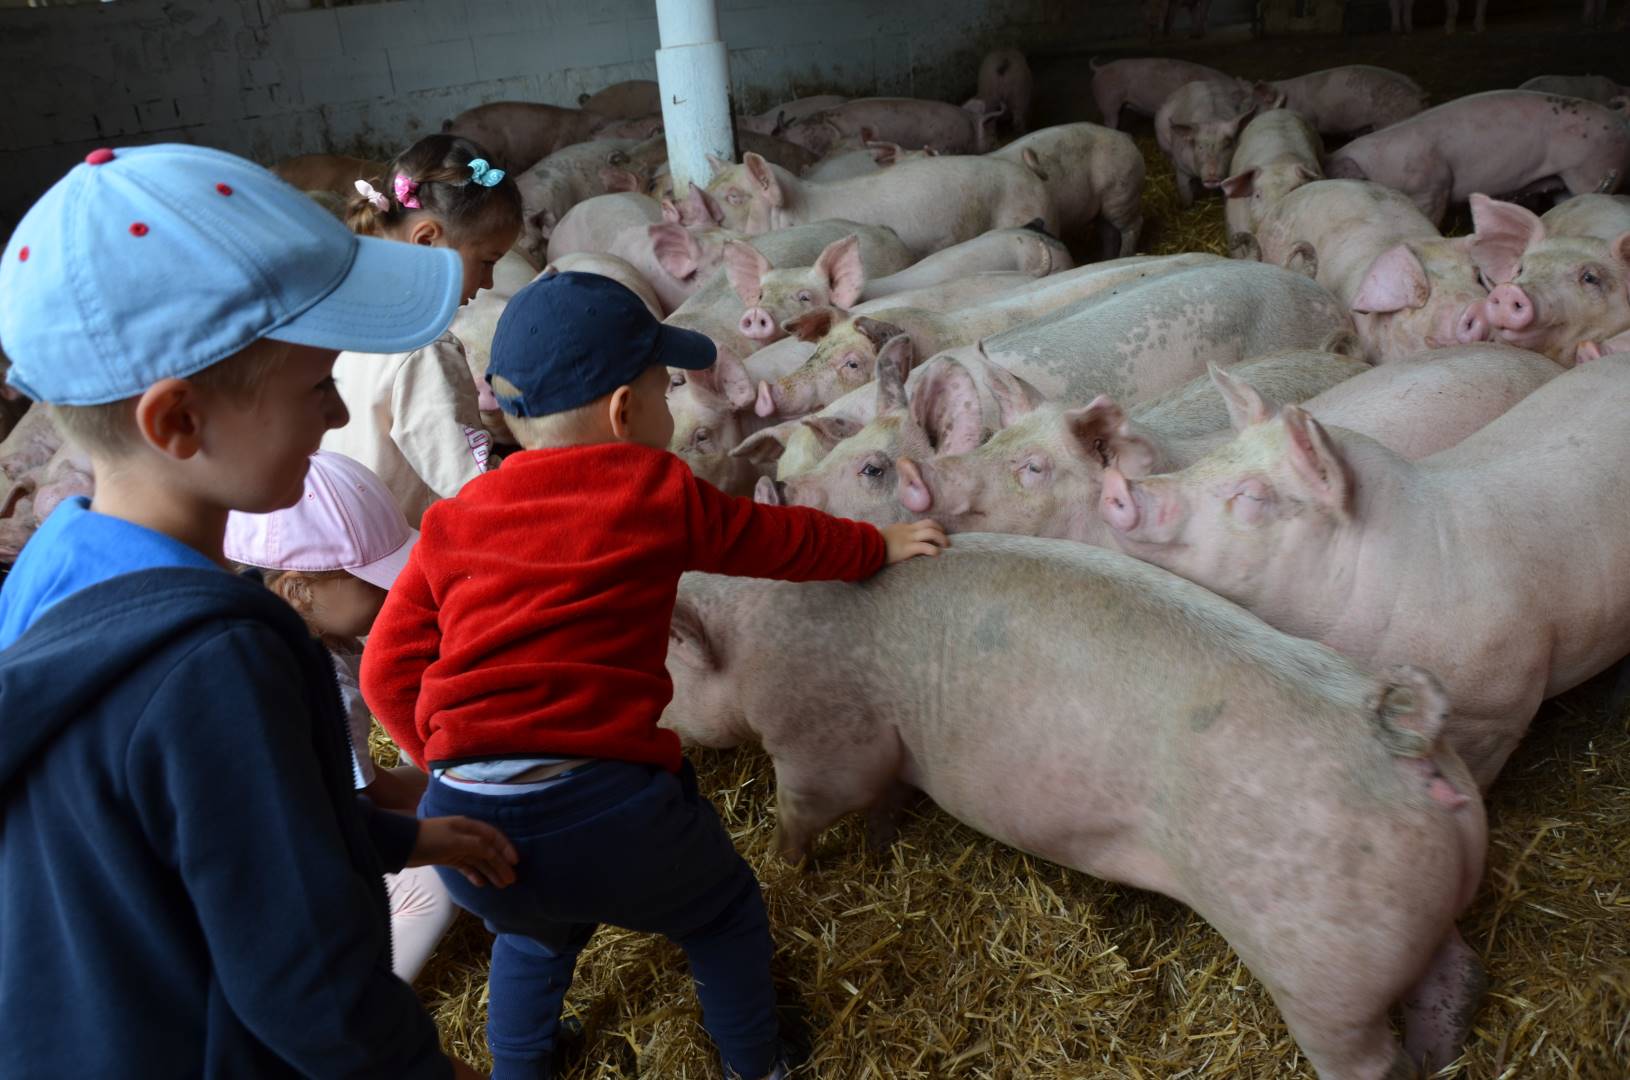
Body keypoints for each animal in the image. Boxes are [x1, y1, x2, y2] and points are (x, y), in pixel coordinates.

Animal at [663, 535, 1487, 1079]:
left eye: (664, 667)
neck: (751, 643)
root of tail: (1404, 744)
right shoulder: (886, 752)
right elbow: (885, 803)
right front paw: (877, 846)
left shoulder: (822, 740)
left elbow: (805, 809)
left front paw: (784, 864)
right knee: (1455, 976)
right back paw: (1442, 1050)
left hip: (1320, 976)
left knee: (1370, 1059)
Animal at [991, 123, 1146, 256]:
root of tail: (1125, 136)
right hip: (1105, 207)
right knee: (1110, 233)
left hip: (1122, 194)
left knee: (1133, 225)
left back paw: (1124, 255)